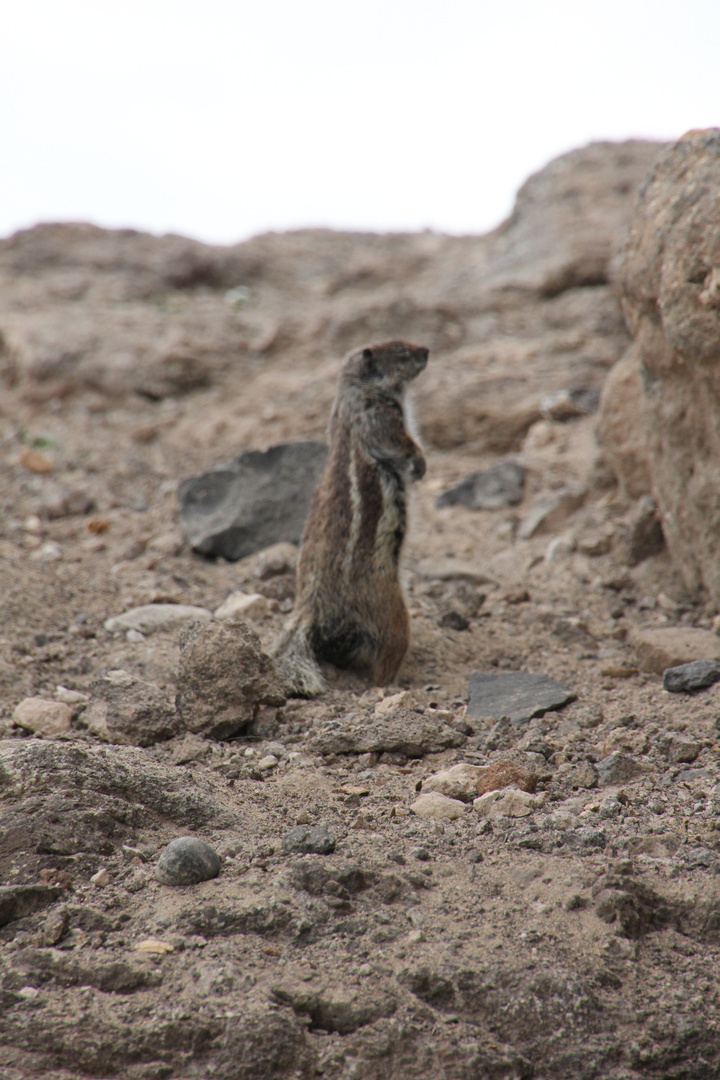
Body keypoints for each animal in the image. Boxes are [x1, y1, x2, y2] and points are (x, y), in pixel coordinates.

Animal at [269, 336, 427, 695]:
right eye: (400, 351)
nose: (427, 350)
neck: (352, 393)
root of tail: (309, 611)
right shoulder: (379, 417)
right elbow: (402, 442)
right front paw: (420, 464)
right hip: (390, 608)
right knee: (387, 655)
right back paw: (393, 686)